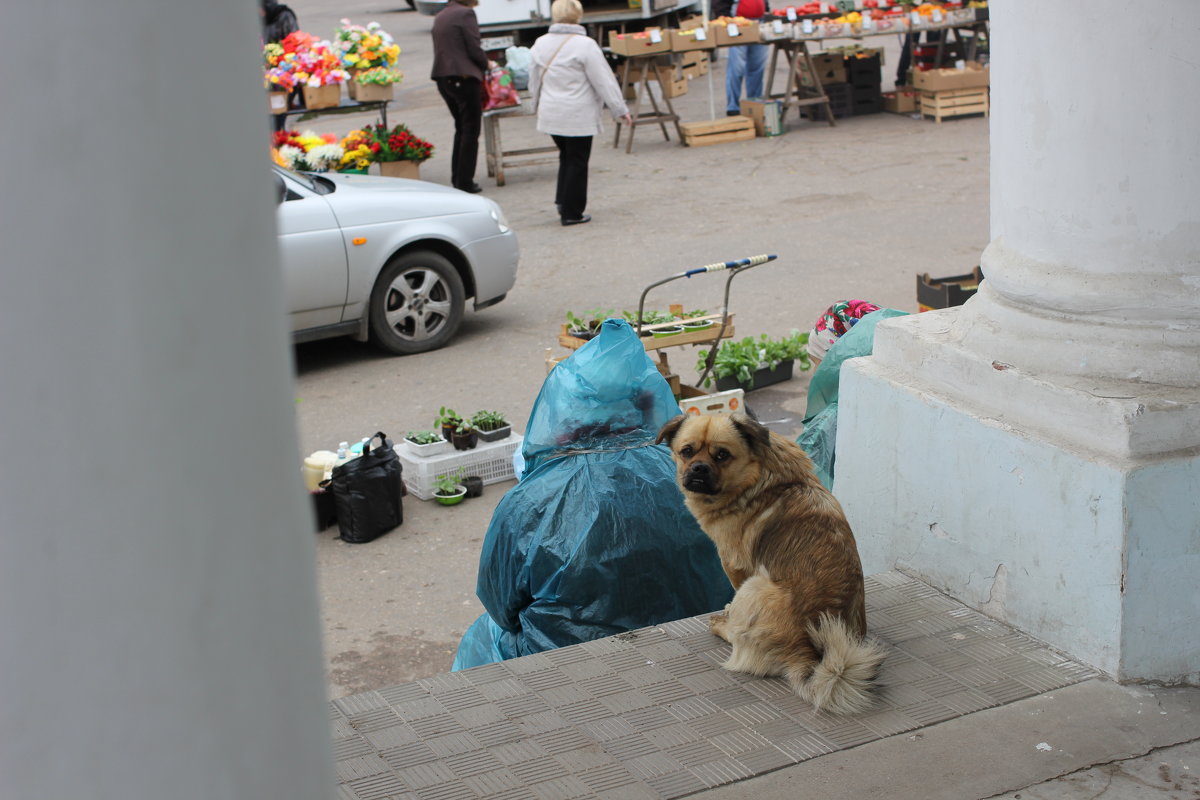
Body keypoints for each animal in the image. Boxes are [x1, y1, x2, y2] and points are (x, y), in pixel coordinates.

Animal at [657, 412, 883, 714]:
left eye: (722, 455)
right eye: (687, 451)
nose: (699, 468)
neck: (758, 475)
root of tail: (805, 652)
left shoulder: (734, 565)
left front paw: (728, 611)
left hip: (754, 587)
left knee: (738, 640)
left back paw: (722, 625)